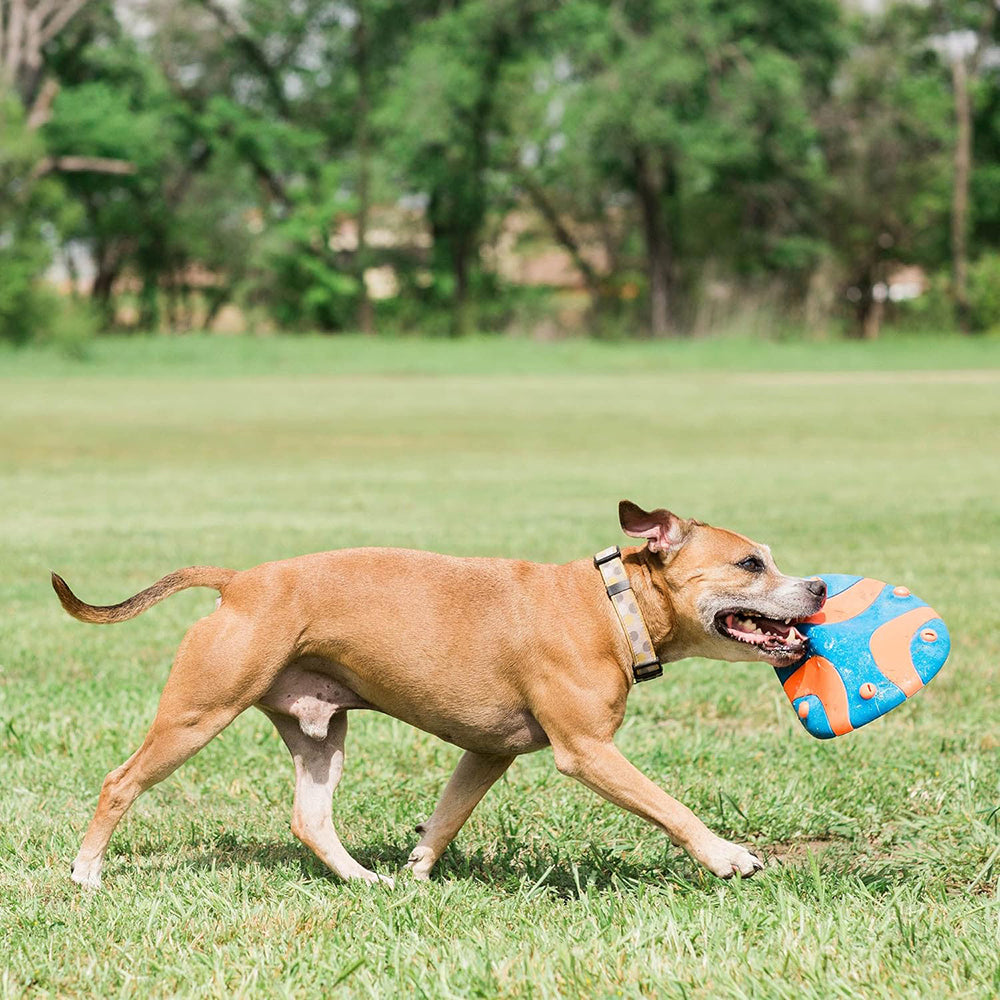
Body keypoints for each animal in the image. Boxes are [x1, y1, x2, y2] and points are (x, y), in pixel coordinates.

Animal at [52, 504, 828, 888]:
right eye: (750, 563)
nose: (820, 586)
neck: (614, 605)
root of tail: (239, 580)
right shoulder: (588, 751)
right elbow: (670, 807)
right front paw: (727, 857)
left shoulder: (487, 753)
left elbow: (449, 816)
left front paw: (419, 870)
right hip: (197, 714)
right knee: (120, 781)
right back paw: (87, 873)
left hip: (320, 734)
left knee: (311, 819)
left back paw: (365, 880)